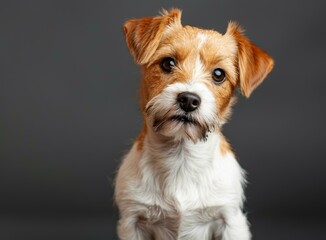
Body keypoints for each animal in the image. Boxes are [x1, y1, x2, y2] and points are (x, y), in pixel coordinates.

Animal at [114, 8, 272, 240]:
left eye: (219, 74)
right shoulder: (132, 220)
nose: (188, 100)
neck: (181, 158)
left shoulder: (231, 220)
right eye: (168, 63)